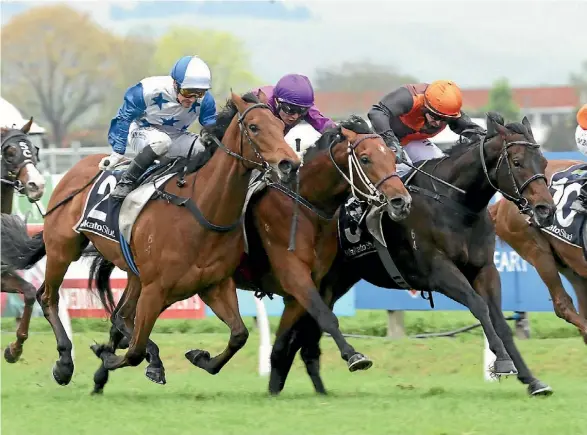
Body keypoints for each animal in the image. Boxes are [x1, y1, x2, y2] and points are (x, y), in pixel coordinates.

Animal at [0, 93, 300, 386]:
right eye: (254, 127)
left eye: (280, 125)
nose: (290, 164)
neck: (202, 207)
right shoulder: (156, 288)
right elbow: (134, 350)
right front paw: (109, 357)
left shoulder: (214, 284)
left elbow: (238, 334)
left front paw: (200, 357)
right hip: (63, 249)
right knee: (48, 297)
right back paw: (63, 362)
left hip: (133, 272)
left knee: (119, 315)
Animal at [86, 114, 414, 394]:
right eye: (366, 158)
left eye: (391, 156)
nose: (401, 201)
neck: (304, 205)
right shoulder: (294, 275)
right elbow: (325, 316)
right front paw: (353, 355)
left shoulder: (299, 292)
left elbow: (282, 343)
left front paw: (272, 386)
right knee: (126, 322)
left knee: (122, 321)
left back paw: (106, 367)